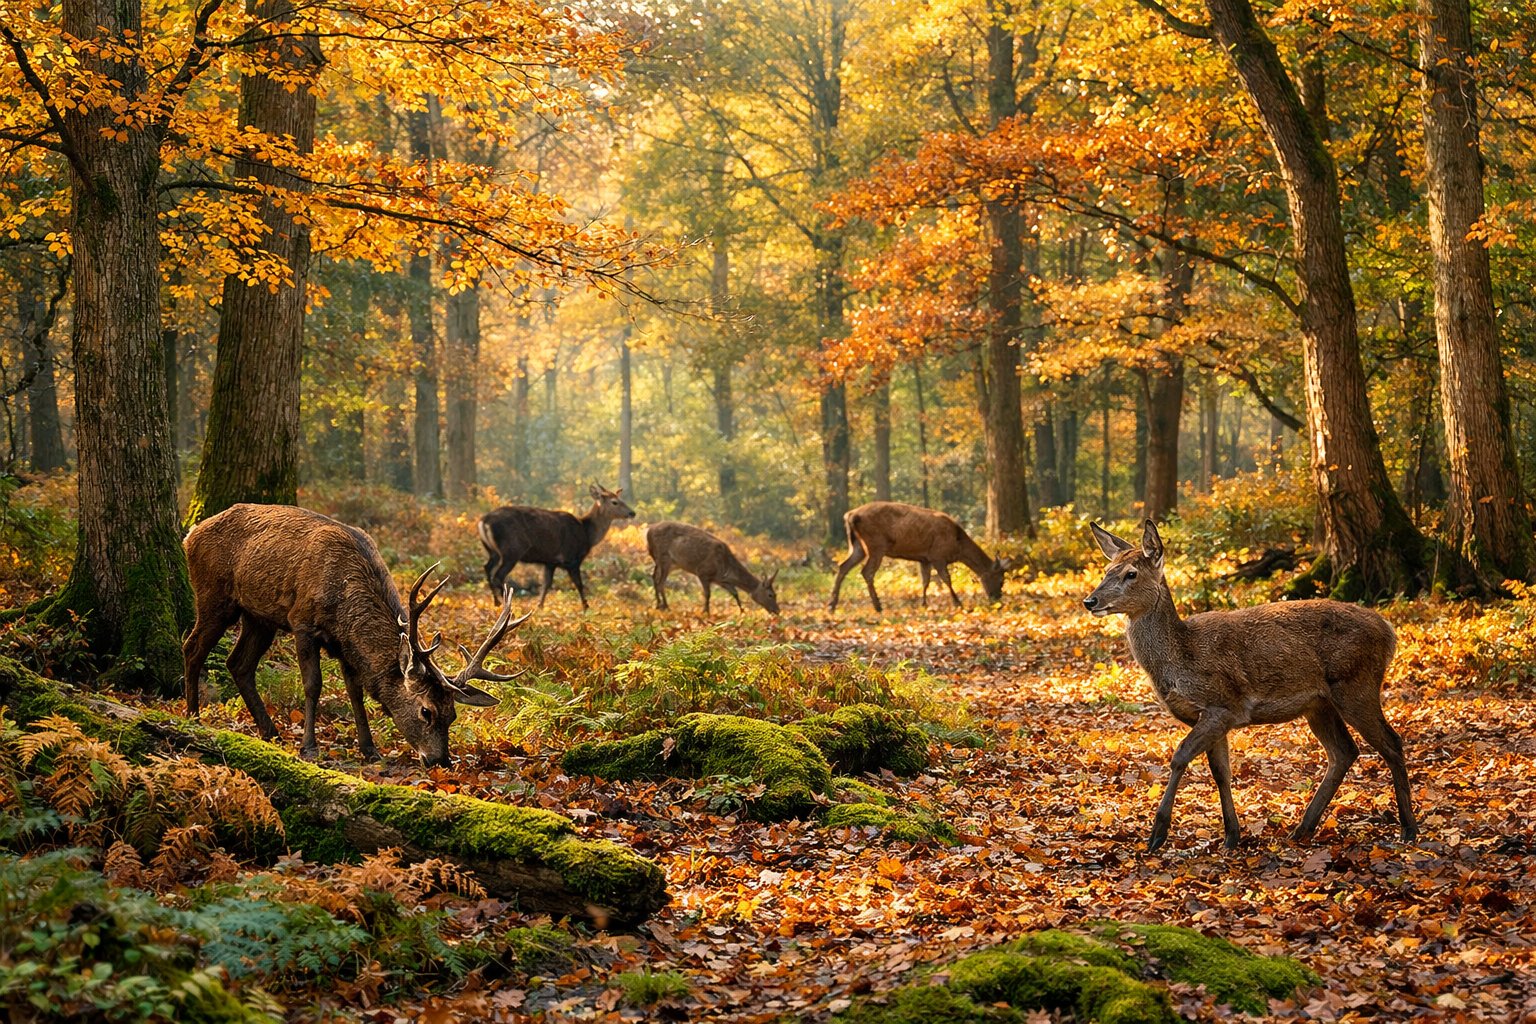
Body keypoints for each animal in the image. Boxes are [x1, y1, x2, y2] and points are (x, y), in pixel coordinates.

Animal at [182, 504, 524, 768]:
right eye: (426, 711)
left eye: (452, 715)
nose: (440, 761)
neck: (344, 603)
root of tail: (190, 533)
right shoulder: (302, 621)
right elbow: (313, 684)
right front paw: (309, 747)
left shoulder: (345, 644)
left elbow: (355, 691)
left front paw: (369, 749)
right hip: (214, 594)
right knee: (192, 647)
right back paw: (192, 715)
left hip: (258, 616)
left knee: (238, 663)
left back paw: (270, 731)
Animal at [478, 484, 635, 610]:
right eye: (615, 502)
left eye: (621, 499)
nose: (632, 513)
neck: (587, 534)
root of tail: (484, 520)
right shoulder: (572, 559)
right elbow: (579, 584)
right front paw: (586, 607)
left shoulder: (550, 562)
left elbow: (546, 584)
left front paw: (540, 606)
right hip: (511, 550)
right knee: (498, 576)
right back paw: (509, 604)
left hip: (493, 551)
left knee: (487, 567)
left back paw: (497, 602)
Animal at [646, 521, 780, 615]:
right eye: (771, 595)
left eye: (775, 594)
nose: (778, 610)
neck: (726, 569)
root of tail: (648, 531)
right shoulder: (703, 572)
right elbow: (708, 594)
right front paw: (706, 612)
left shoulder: (720, 580)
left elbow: (735, 593)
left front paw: (742, 611)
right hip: (664, 558)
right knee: (660, 583)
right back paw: (665, 606)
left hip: (668, 562)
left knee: (654, 577)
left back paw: (658, 605)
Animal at [828, 501, 1013, 613]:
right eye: (1001, 580)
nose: (997, 598)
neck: (957, 544)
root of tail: (850, 515)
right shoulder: (938, 555)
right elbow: (946, 579)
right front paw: (957, 602)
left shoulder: (925, 558)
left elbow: (925, 581)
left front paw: (923, 604)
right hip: (876, 545)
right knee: (867, 572)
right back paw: (878, 606)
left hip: (857, 546)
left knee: (843, 566)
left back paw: (832, 605)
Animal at [1085, 519, 1418, 852]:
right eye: (1107, 570)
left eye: (1131, 573)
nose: (1090, 601)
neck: (1180, 656)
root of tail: (1389, 631)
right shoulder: (1211, 717)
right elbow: (1221, 772)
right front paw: (1232, 836)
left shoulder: (1223, 704)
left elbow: (1180, 756)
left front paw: (1157, 834)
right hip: (1319, 704)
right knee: (1344, 751)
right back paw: (1302, 829)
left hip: (1356, 684)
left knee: (1391, 742)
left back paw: (1408, 829)